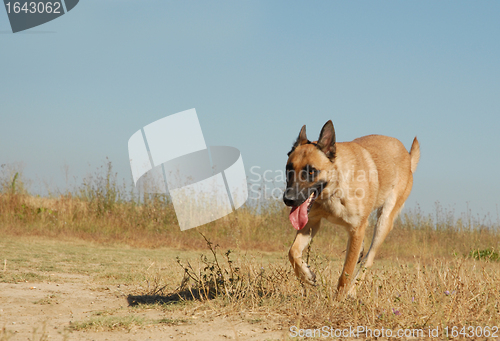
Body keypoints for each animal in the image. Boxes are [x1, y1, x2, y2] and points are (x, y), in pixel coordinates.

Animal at [284, 121, 420, 296]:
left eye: (312, 171)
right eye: (288, 169)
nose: (288, 199)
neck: (334, 189)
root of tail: (408, 157)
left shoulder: (356, 228)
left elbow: (346, 273)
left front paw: (338, 299)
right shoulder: (311, 222)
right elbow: (292, 252)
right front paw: (306, 276)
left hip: (383, 222)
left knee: (368, 260)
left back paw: (352, 291)